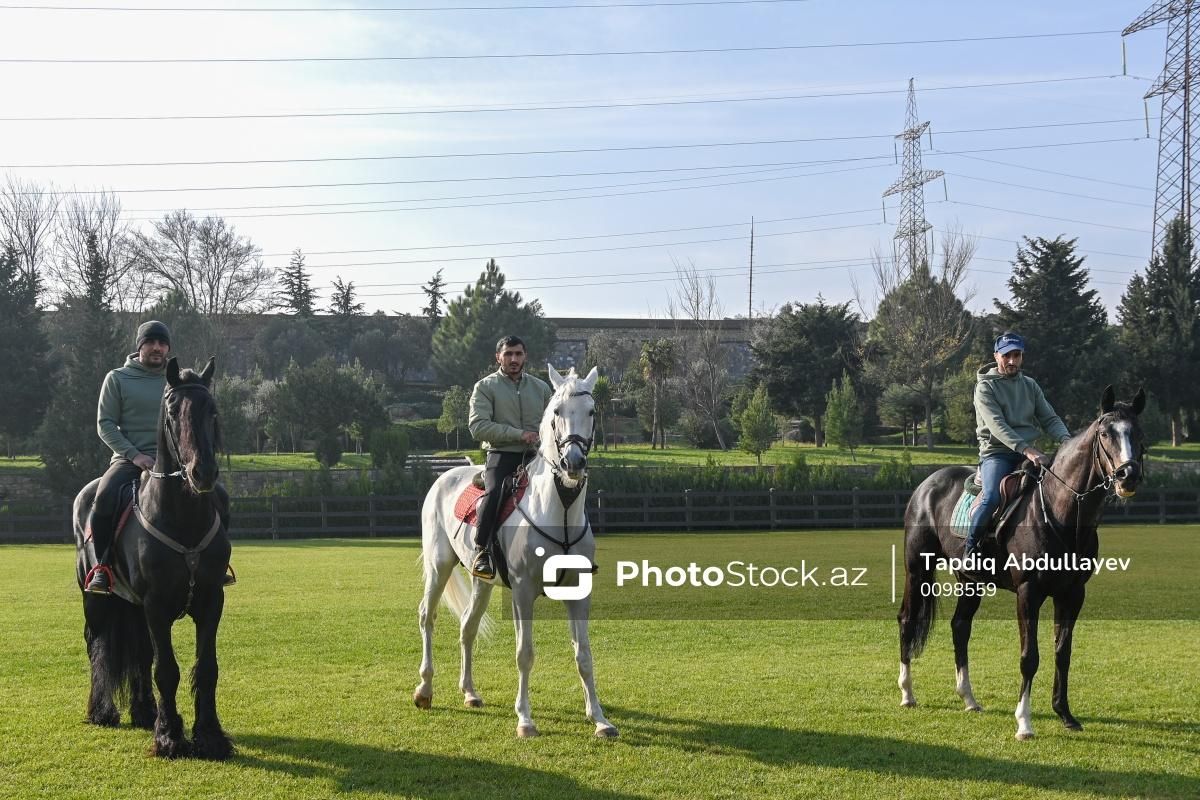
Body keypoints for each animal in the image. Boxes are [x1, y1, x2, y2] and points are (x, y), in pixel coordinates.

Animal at [76, 359, 235, 762]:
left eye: (212, 410)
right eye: (173, 411)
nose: (202, 473)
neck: (181, 517)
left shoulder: (211, 601)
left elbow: (206, 668)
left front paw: (210, 736)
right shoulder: (156, 605)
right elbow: (166, 669)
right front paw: (170, 738)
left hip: (134, 607)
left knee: (140, 653)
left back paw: (145, 711)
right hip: (96, 602)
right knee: (96, 647)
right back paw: (102, 711)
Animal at [412, 367, 619, 743]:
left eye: (592, 411)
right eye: (556, 413)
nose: (573, 462)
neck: (558, 513)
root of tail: (445, 476)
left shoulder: (579, 592)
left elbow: (584, 655)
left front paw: (599, 719)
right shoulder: (522, 591)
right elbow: (525, 654)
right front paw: (525, 719)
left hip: (482, 582)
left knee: (468, 626)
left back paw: (470, 692)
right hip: (438, 566)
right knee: (427, 616)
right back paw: (424, 690)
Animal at [902, 383, 1142, 743]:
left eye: (1137, 431)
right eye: (1105, 433)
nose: (1128, 475)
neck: (1059, 511)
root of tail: (926, 486)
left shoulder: (1073, 595)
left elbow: (1062, 652)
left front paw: (1065, 714)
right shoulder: (1029, 593)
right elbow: (1030, 657)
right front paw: (1024, 723)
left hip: (970, 582)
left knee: (960, 627)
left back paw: (969, 699)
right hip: (917, 570)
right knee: (907, 619)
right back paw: (907, 693)